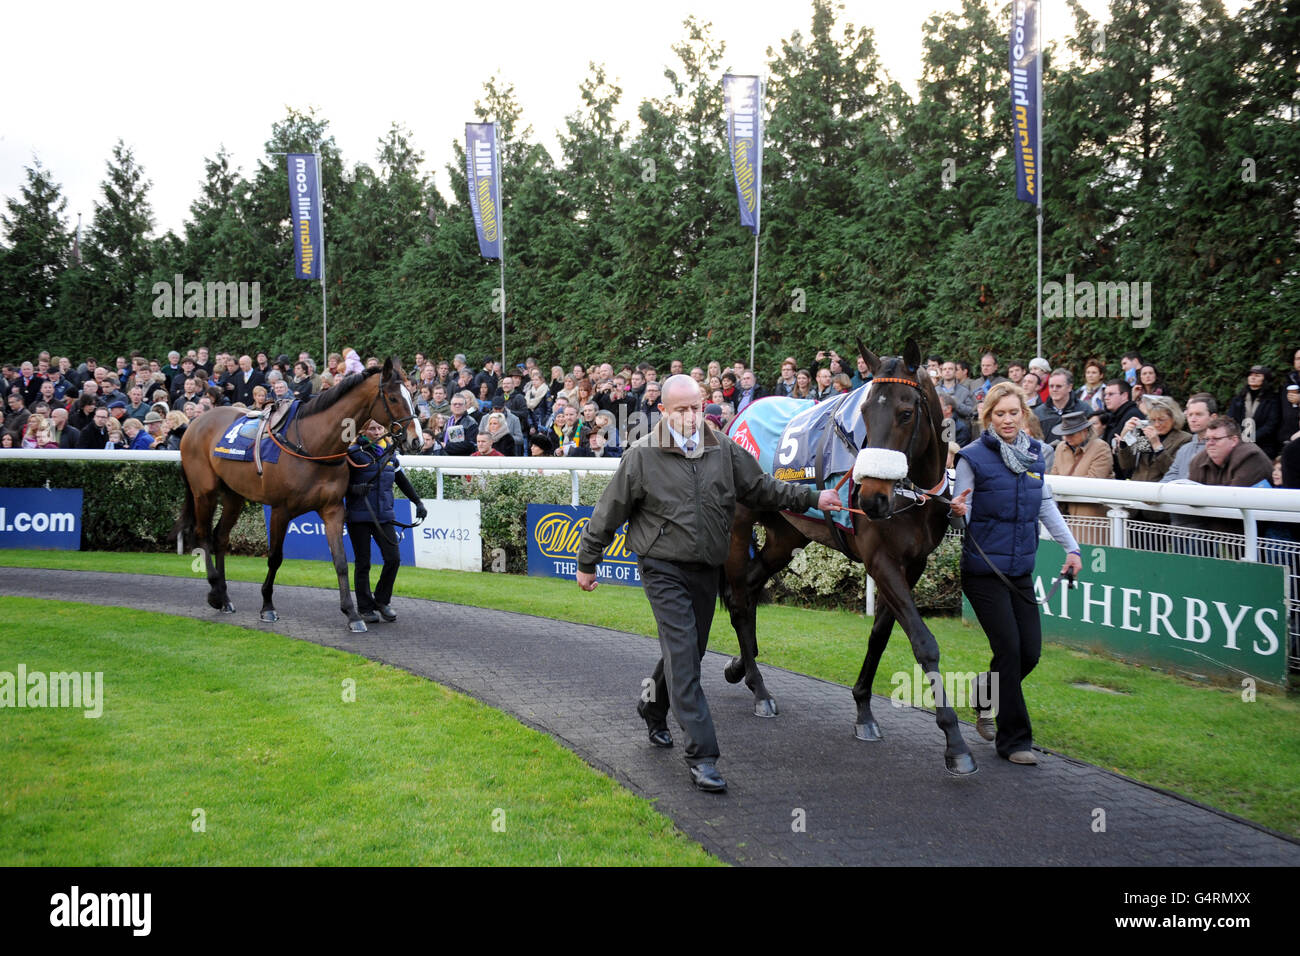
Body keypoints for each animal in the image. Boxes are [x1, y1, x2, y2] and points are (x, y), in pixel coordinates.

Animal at [176, 356, 421, 632]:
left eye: (412, 395)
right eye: (393, 398)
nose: (416, 440)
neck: (314, 446)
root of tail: (195, 423)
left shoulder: (333, 509)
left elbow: (341, 561)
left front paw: (352, 613)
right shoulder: (280, 510)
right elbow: (275, 558)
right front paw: (267, 607)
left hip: (233, 495)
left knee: (220, 537)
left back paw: (225, 597)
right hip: (204, 492)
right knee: (204, 536)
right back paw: (215, 594)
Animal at [722, 340, 977, 775]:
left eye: (906, 413)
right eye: (865, 412)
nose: (872, 497)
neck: (909, 495)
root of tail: (738, 418)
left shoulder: (912, 565)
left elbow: (881, 634)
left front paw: (863, 710)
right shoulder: (881, 559)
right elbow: (923, 642)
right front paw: (955, 742)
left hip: (786, 532)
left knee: (754, 581)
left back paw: (742, 664)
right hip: (742, 523)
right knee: (739, 599)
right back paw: (759, 690)